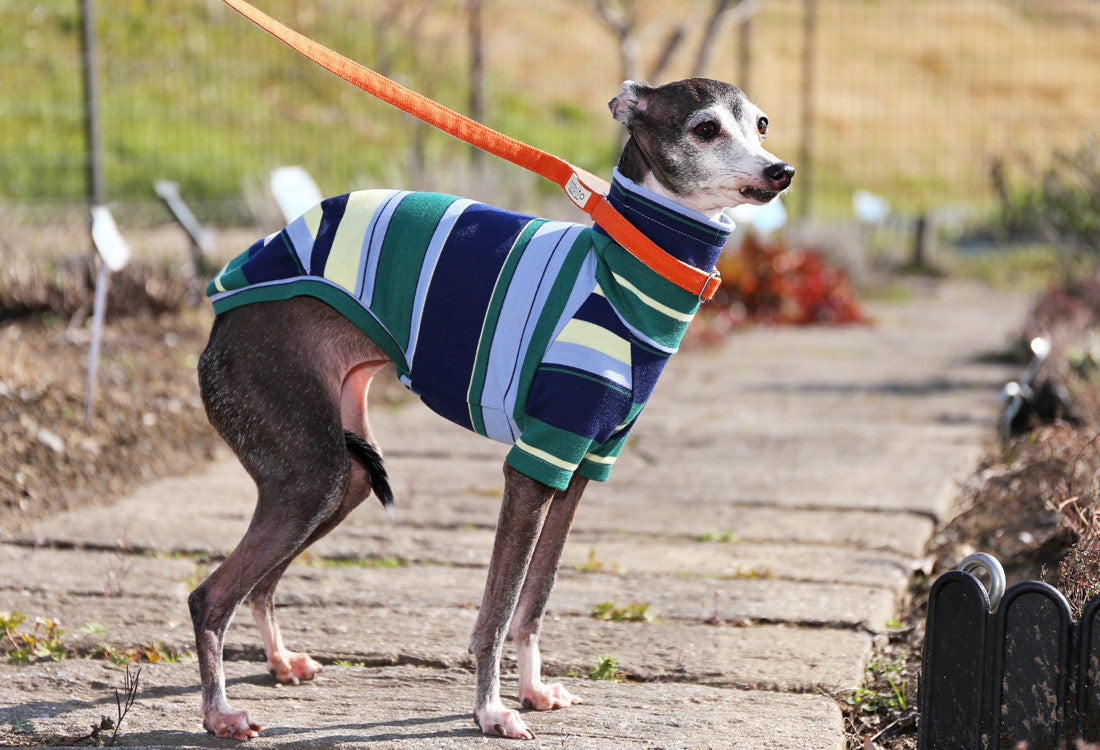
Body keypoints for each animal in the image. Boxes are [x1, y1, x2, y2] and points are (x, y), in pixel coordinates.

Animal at [187, 77, 792, 734]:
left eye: (761, 124)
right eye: (706, 128)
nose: (781, 171)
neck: (628, 270)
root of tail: (221, 307)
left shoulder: (580, 467)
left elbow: (536, 600)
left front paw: (531, 690)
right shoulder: (534, 462)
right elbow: (499, 611)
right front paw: (491, 710)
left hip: (339, 477)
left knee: (262, 582)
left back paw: (279, 662)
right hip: (307, 473)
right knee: (209, 595)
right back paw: (220, 714)